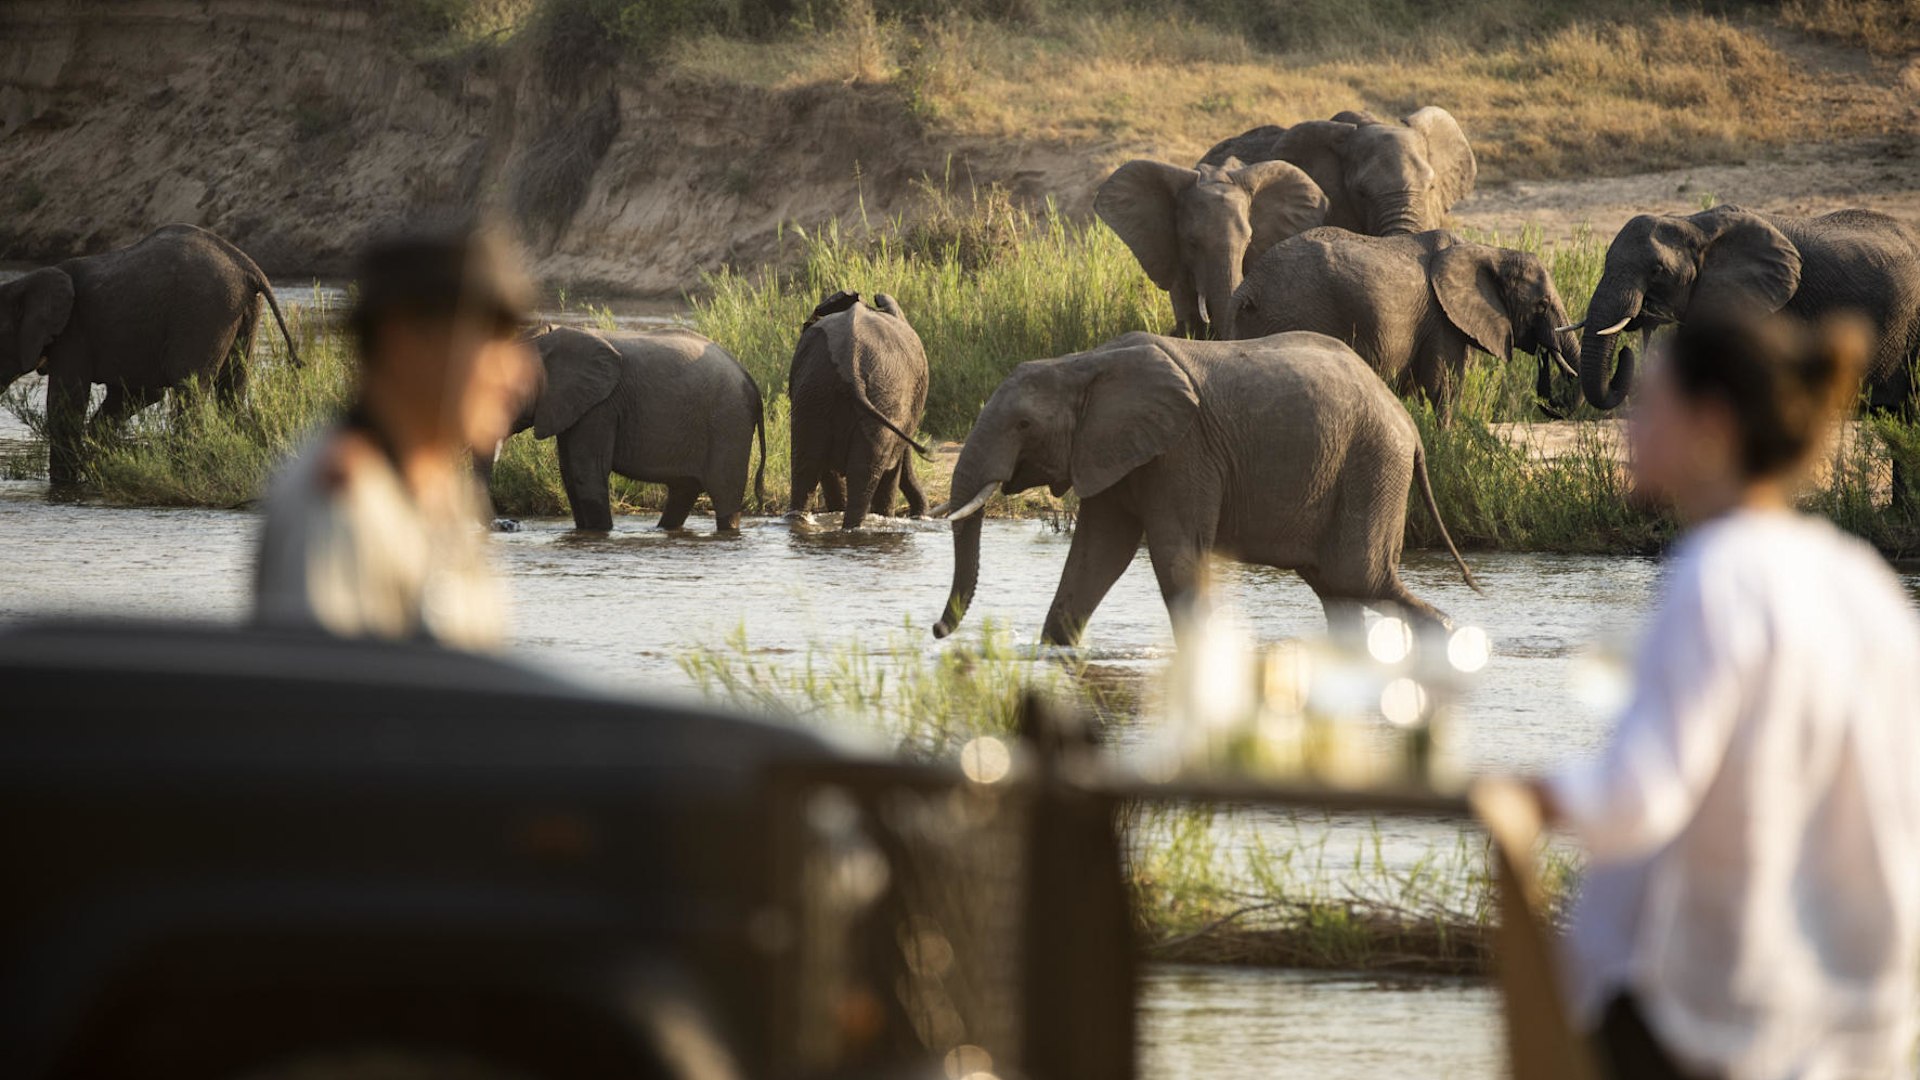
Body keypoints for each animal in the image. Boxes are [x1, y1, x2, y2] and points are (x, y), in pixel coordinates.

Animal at [0, 223, 300, 486]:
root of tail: (247, 266)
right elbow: (136, 394)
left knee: (190, 391)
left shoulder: (73, 334)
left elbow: (65, 406)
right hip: (244, 312)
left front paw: (67, 483)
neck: (28, 282)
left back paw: (188, 472)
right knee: (231, 392)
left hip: (204, 312)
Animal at [482, 325, 766, 533]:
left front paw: (601, 533)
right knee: (683, 491)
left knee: (724, 494)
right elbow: (569, 473)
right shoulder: (577, 405)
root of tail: (751, 380)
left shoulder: (601, 406)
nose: (507, 524)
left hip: (729, 423)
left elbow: (586, 472)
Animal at [786, 290, 932, 529]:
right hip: (881, 397)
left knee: (806, 465)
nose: (917, 516)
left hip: (814, 392)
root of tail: (850, 364)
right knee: (863, 472)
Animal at [929, 330, 1477, 647]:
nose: (936, 631)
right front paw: (1054, 655)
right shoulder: (1110, 450)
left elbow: (1175, 558)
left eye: (1023, 425)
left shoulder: (1183, 450)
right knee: (1337, 590)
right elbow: (1098, 553)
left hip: (1372, 464)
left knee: (1358, 579)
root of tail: (1408, 425)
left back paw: (1454, 642)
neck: (1082, 363)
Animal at [1230, 228, 1582, 424]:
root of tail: (1248, 287)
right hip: (1296, 313)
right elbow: (1443, 387)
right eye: (1542, 305)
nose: (1550, 404)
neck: (1489, 251)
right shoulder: (1441, 320)